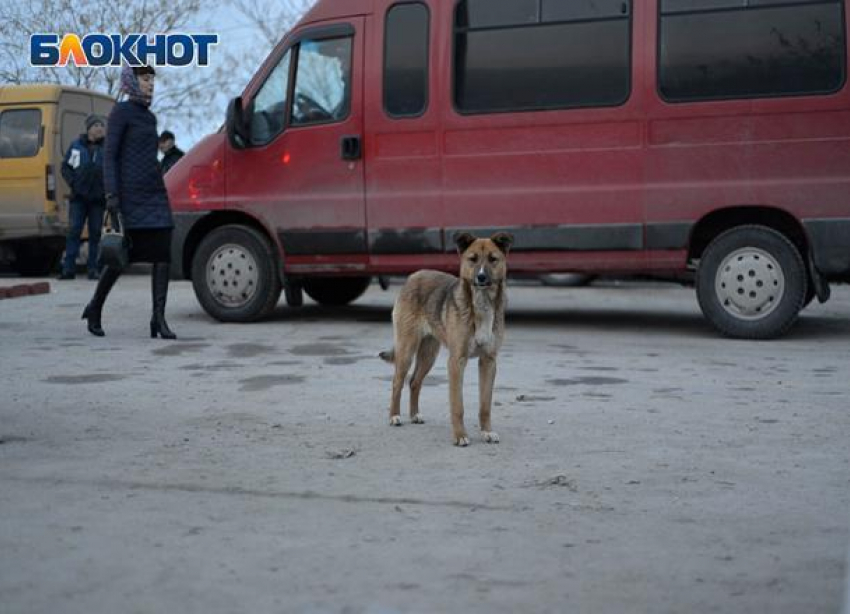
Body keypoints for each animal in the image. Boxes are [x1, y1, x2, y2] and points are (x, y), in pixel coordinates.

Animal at [380, 232, 512, 448]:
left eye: (493, 259)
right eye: (472, 259)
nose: (481, 277)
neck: (481, 302)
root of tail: (413, 276)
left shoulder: (488, 362)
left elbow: (485, 405)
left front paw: (486, 432)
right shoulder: (456, 362)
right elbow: (458, 406)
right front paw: (459, 436)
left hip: (429, 354)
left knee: (414, 382)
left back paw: (414, 414)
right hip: (407, 350)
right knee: (397, 382)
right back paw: (394, 416)